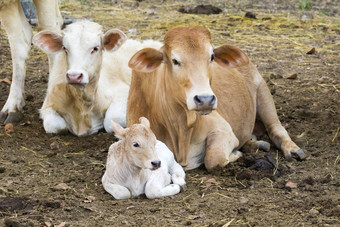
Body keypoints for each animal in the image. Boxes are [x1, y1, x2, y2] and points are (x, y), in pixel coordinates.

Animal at [32, 20, 163, 135]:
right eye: (65, 48)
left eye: (95, 48)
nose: (74, 76)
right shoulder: (47, 104)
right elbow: (55, 126)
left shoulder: (124, 93)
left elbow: (111, 122)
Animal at [126, 26, 306, 170]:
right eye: (175, 60)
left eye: (212, 56)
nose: (205, 100)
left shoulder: (222, 129)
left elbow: (213, 159)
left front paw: (236, 154)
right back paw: (256, 144)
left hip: (263, 94)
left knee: (277, 129)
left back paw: (292, 149)